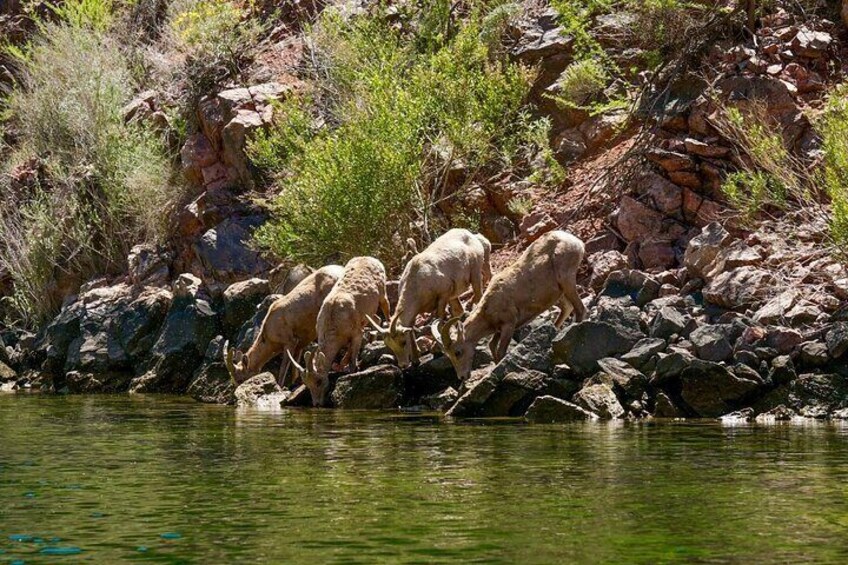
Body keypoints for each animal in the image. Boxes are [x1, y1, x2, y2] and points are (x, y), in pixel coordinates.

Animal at [286, 256, 390, 406]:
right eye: (307, 384)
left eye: (319, 381)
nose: (317, 404)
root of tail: (371, 258)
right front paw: (341, 365)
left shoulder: (357, 333)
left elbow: (353, 357)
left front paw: (352, 372)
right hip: (369, 313)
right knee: (376, 319)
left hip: (383, 294)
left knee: (387, 312)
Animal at [370, 228, 494, 366]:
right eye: (390, 346)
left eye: (403, 342)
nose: (403, 365)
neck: (417, 281)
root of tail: (472, 236)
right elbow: (412, 329)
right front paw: (416, 360)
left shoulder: (443, 297)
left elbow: (439, 319)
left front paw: (435, 349)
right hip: (455, 295)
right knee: (459, 311)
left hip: (476, 274)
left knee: (480, 294)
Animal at [430, 229, 584, 378]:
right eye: (450, 356)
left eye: (458, 352)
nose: (462, 377)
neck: (487, 308)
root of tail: (577, 242)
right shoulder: (499, 330)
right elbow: (492, 346)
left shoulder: (509, 325)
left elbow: (500, 351)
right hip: (560, 293)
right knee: (568, 307)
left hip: (567, 280)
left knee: (580, 308)